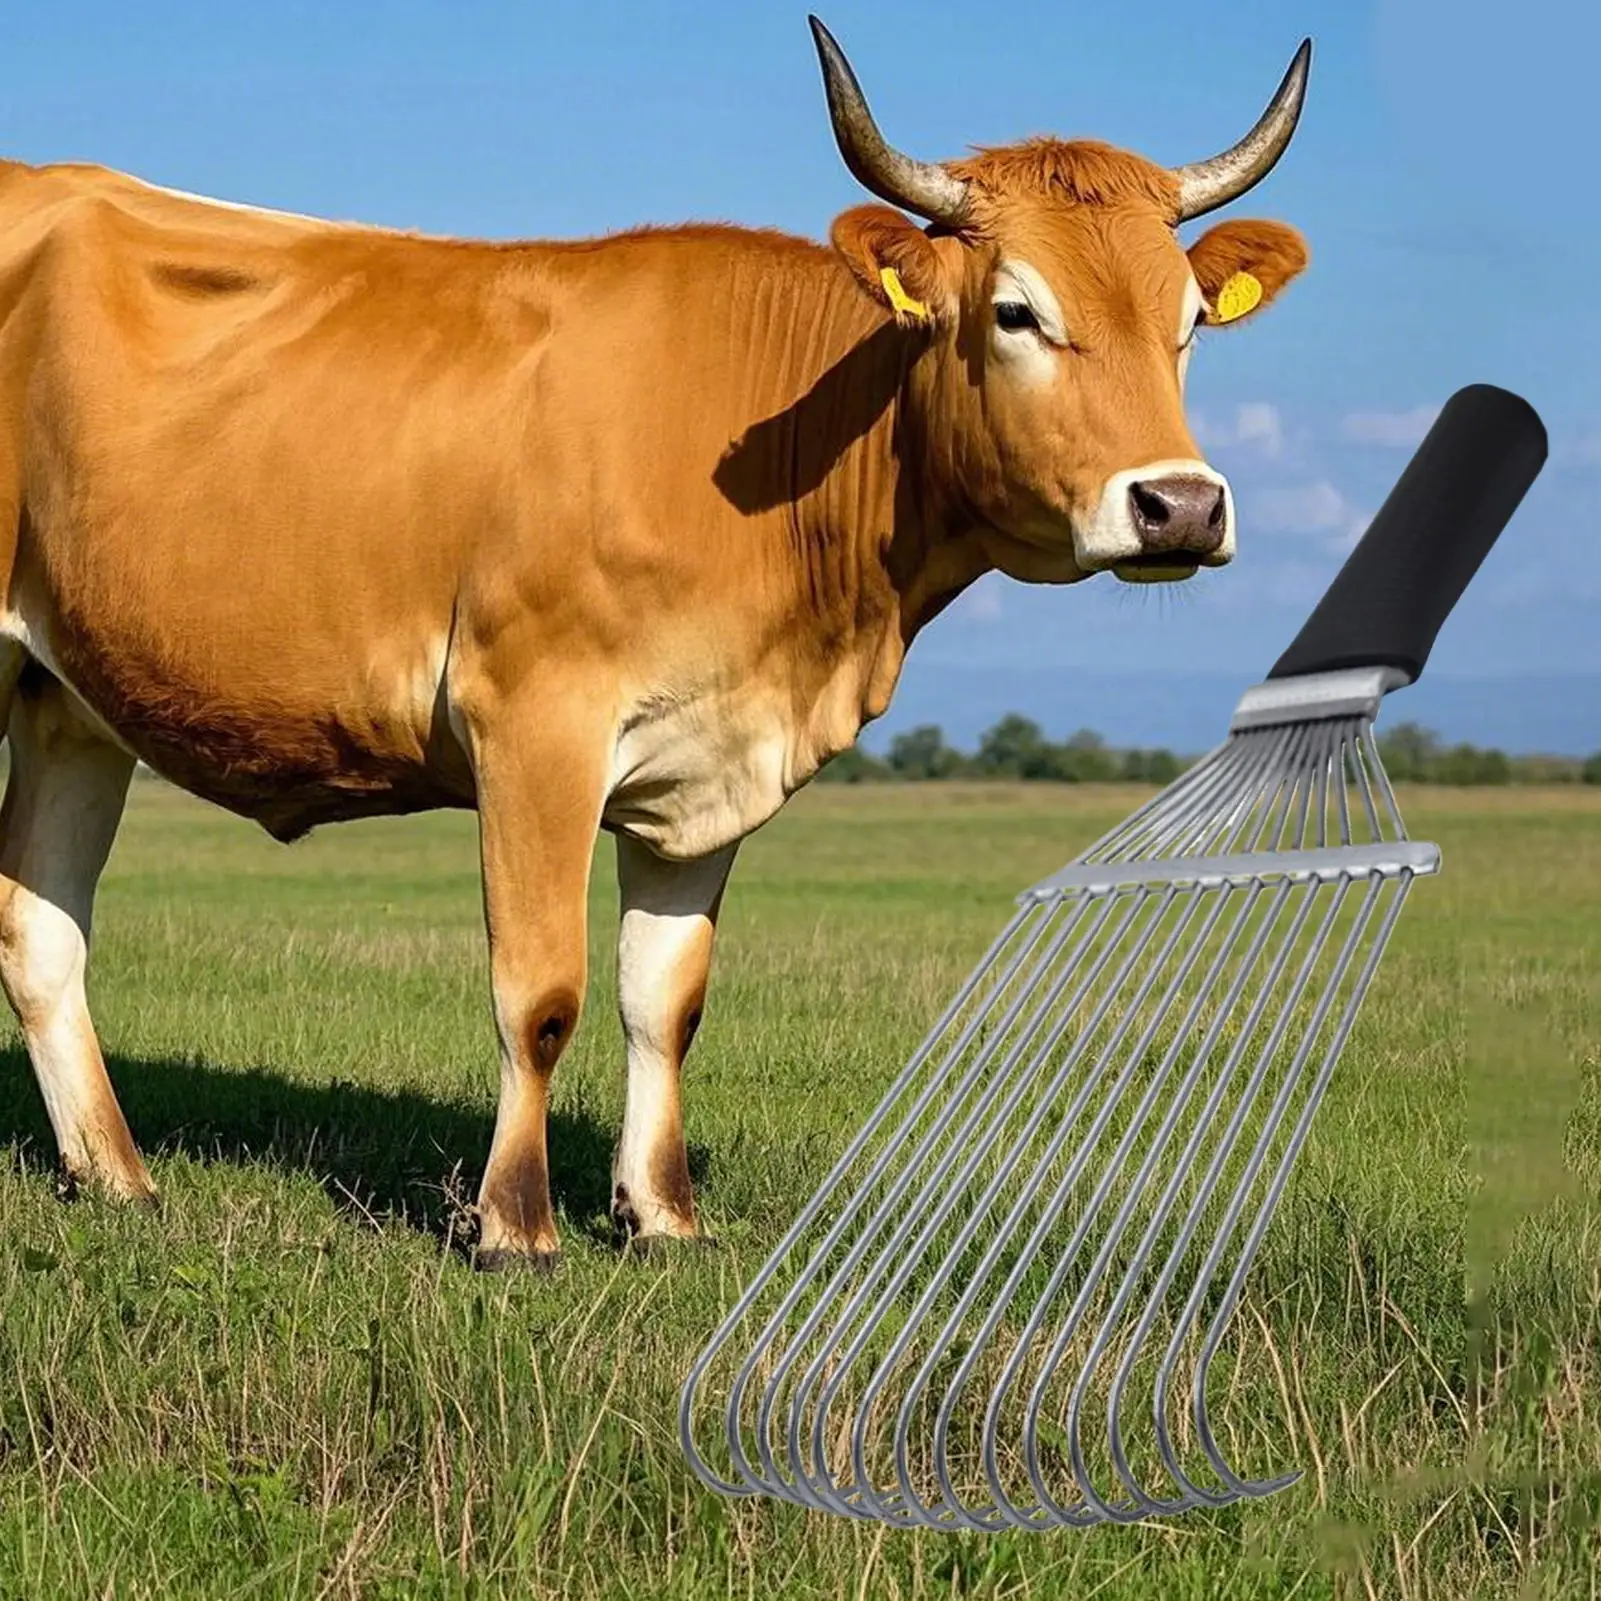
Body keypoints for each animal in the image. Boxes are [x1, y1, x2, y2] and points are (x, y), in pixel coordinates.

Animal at [0, 18, 1310, 1267]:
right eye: (1015, 311)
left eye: (1189, 323)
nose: (1179, 506)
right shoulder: (533, 720)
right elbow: (541, 993)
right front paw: (515, 1226)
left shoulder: (707, 757)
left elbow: (661, 998)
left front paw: (659, 1212)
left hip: (67, 699)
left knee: (40, 933)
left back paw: (115, 1176)